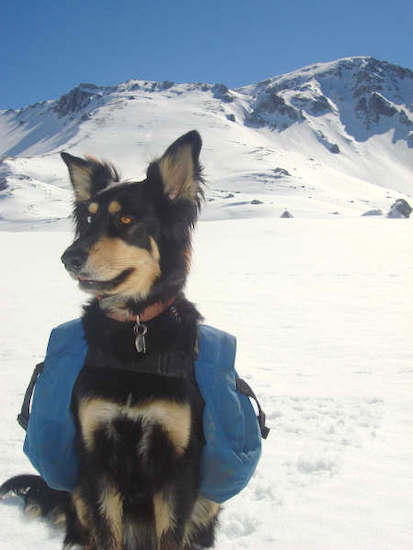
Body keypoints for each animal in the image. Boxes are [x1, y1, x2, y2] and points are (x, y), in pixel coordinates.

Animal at [0, 132, 220, 548]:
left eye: (126, 219)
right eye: (88, 218)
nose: (69, 258)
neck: (133, 330)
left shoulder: (178, 460)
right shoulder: (96, 454)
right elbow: (106, 531)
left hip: (206, 503)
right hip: (79, 492)